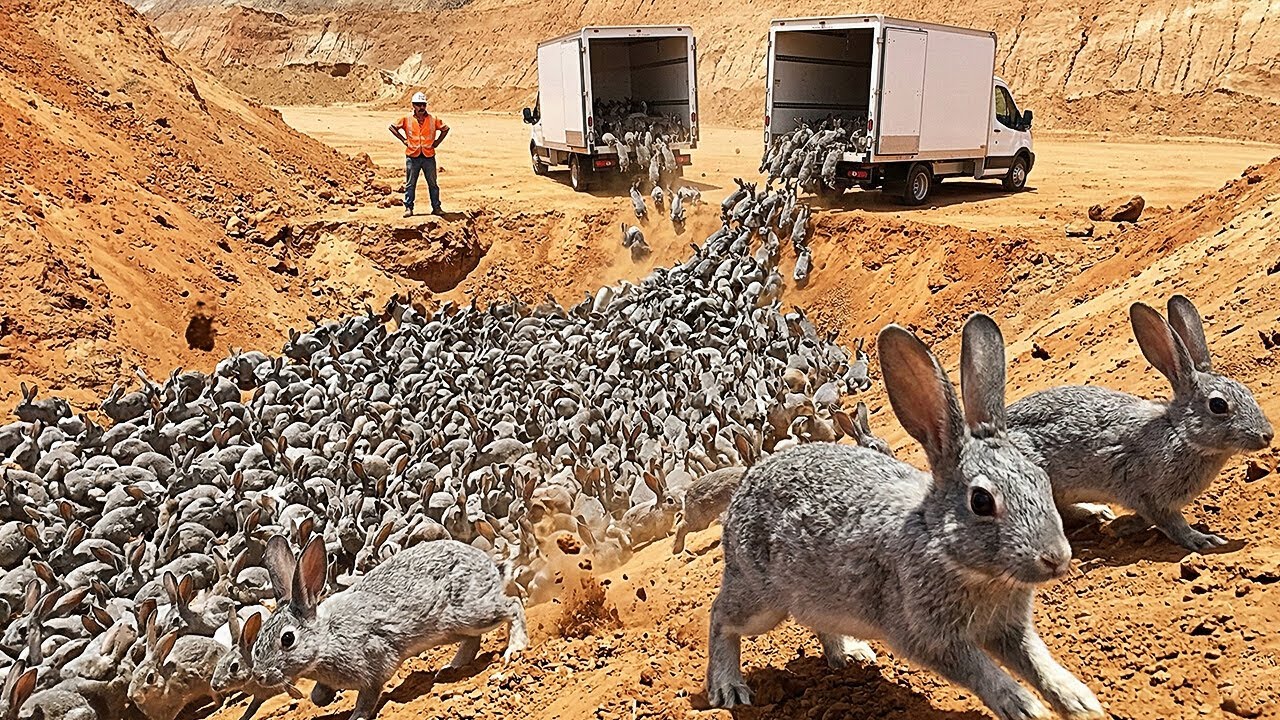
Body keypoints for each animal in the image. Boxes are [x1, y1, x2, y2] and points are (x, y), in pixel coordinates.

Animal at [251, 534, 528, 720]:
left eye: (287, 639)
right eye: (256, 644)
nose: (259, 676)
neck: (327, 639)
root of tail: (490, 567)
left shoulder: (373, 667)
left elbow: (368, 697)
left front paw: (356, 716)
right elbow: (317, 696)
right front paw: (323, 698)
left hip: (469, 613)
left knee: (512, 606)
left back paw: (515, 648)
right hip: (456, 627)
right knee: (473, 639)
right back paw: (451, 668)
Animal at [704, 314, 1104, 720]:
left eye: (1041, 479)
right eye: (981, 501)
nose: (1056, 558)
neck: (944, 547)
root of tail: (746, 485)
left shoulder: (1009, 629)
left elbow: (1037, 661)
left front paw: (1080, 702)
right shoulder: (930, 635)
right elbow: (982, 672)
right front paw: (1026, 708)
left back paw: (850, 653)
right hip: (760, 598)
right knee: (721, 617)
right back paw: (728, 688)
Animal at [1007, 295, 1274, 550]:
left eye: (1246, 391)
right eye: (1218, 405)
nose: (1267, 435)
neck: (1179, 433)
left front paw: (1121, 526)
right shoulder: (1149, 495)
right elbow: (1172, 524)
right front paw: (1202, 540)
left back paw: (1097, 513)